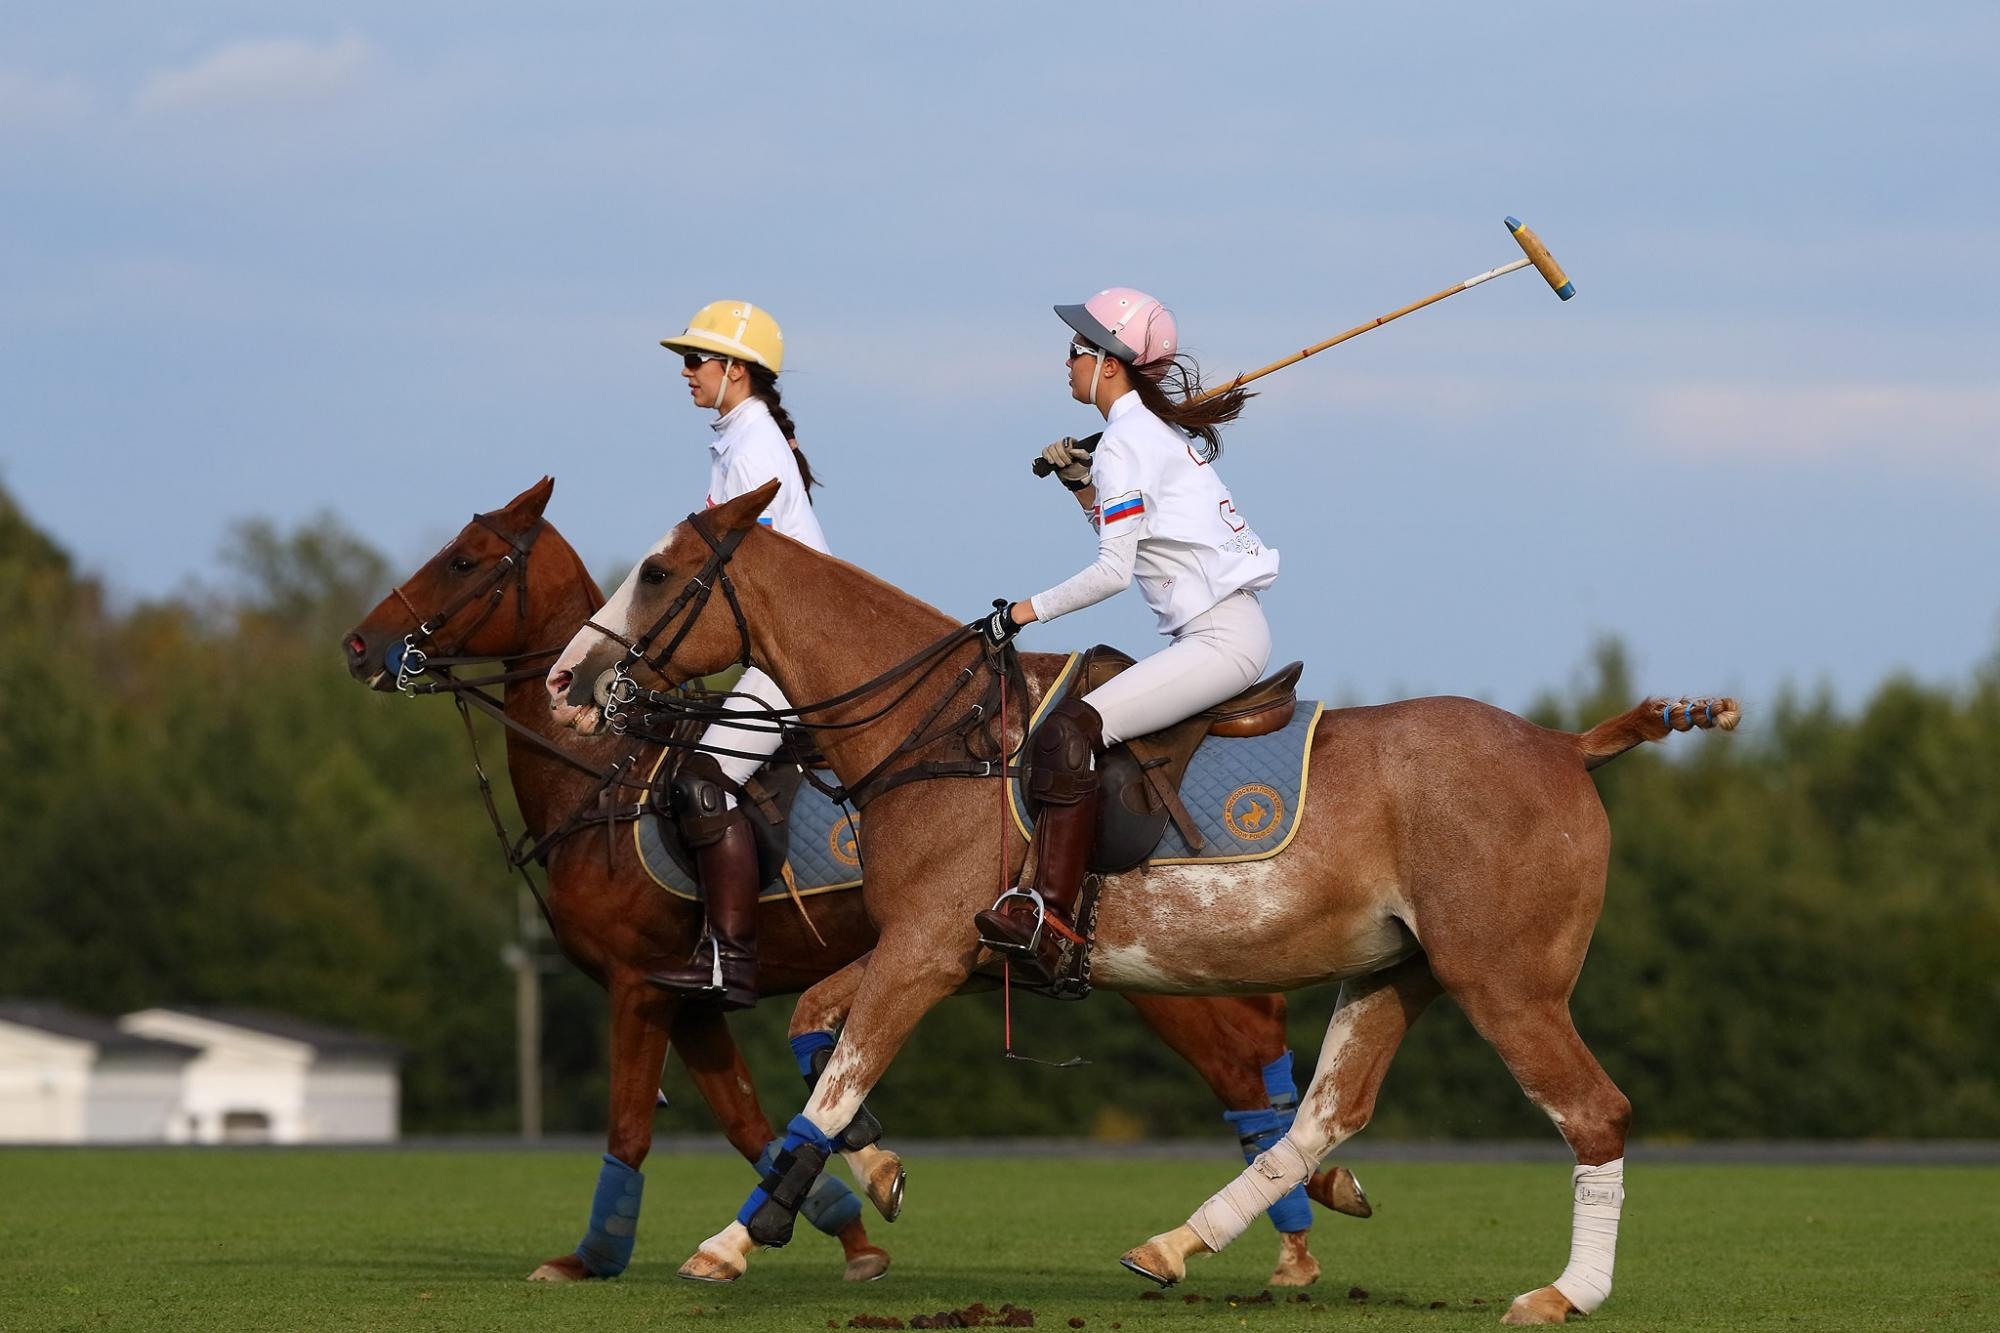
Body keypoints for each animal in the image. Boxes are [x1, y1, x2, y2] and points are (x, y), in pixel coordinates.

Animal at [348, 478, 1376, 1288]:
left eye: (465, 560)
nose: (361, 646)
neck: (599, 776)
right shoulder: (700, 997)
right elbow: (754, 1112)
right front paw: (852, 1214)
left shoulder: (643, 984)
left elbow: (637, 1122)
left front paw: (594, 1257)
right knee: (1261, 1052)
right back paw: (1310, 1206)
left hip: (1158, 971)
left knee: (1244, 1064)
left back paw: (1288, 1233)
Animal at [544, 480, 1736, 1320]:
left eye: (657, 572)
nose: (564, 682)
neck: (935, 736)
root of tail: (1566, 744)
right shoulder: (942, 949)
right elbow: (814, 1032)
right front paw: (874, 1177)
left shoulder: (925, 948)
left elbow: (834, 1082)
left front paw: (731, 1242)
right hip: (1397, 970)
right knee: (1325, 1112)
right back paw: (1178, 1241)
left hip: (1505, 977)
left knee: (1591, 1111)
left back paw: (1561, 1294)